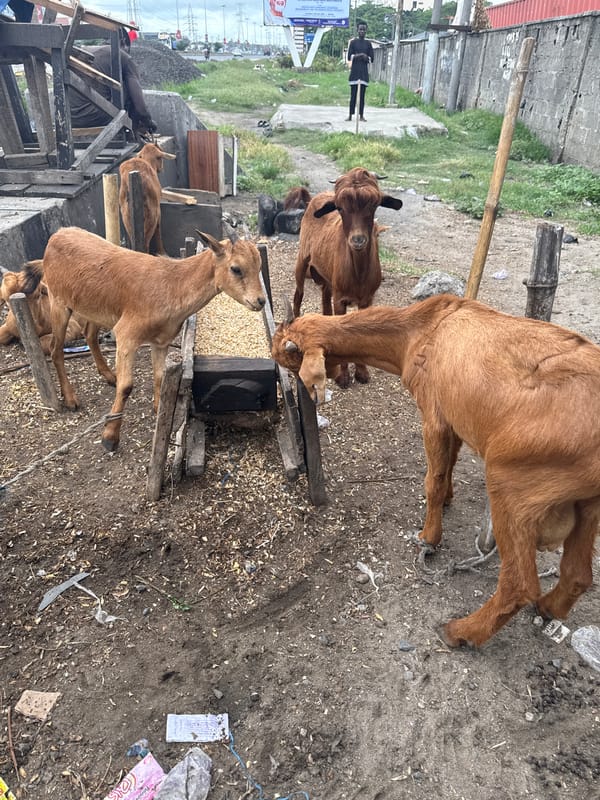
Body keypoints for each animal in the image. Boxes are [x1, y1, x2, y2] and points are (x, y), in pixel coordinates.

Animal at [25, 227, 266, 451]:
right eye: (236, 268)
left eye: (259, 266)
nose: (260, 301)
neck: (171, 286)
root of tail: (54, 238)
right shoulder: (127, 335)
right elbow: (127, 387)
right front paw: (110, 437)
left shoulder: (161, 341)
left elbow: (159, 376)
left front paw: (160, 411)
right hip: (58, 301)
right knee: (56, 348)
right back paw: (71, 399)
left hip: (94, 308)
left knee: (90, 335)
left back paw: (108, 375)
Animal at [272, 295, 600, 648]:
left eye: (287, 354)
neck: (421, 331)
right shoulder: (453, 420)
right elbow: (450, 463)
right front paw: (448, 501)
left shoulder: (434, 416)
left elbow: (433, 479)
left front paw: (429, 536)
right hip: (587, 504)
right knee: (578, 575)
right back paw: (549, 608)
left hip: (513, 487)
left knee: (519, 584)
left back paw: (460, 632)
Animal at [292, 167, 403, 389]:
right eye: (340, 208)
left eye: (374, 206)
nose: (358, 240)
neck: (357, 272)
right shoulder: (340, 298)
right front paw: (343, 377)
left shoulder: (367, 299)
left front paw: (362, 372)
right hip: (303, 257)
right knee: (298, 294)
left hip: (327, 277)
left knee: (325, 300)